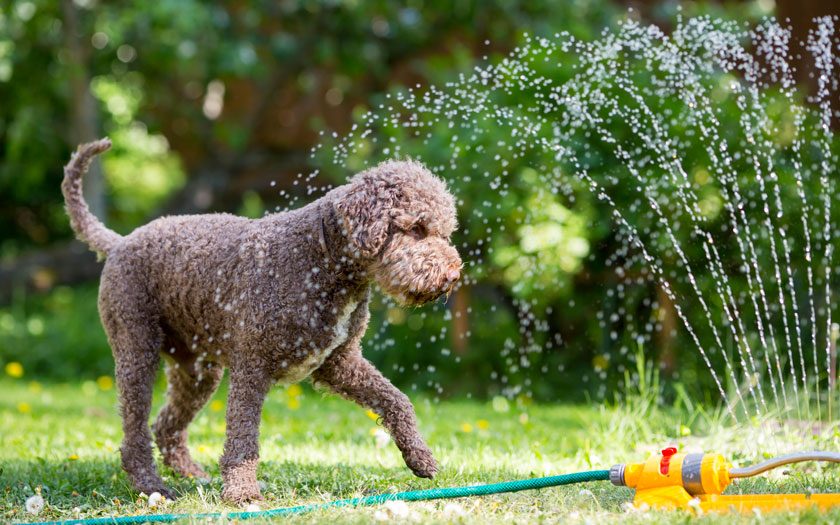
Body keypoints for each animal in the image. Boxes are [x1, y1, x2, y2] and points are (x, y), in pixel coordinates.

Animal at [62, 138, 462, 504]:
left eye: (445, 231)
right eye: (417, 228)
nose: (453, 275)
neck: (319, 260)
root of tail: (119, 242)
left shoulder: (339, 363)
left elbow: (397, 400)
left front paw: (420, 457)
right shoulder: (251, 368)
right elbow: (242, 439)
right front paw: (241, 492)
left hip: (198, 371)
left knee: (166, 426)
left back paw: (191, 474)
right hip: (137, 353)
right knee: (135, 433)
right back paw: (151, 485)